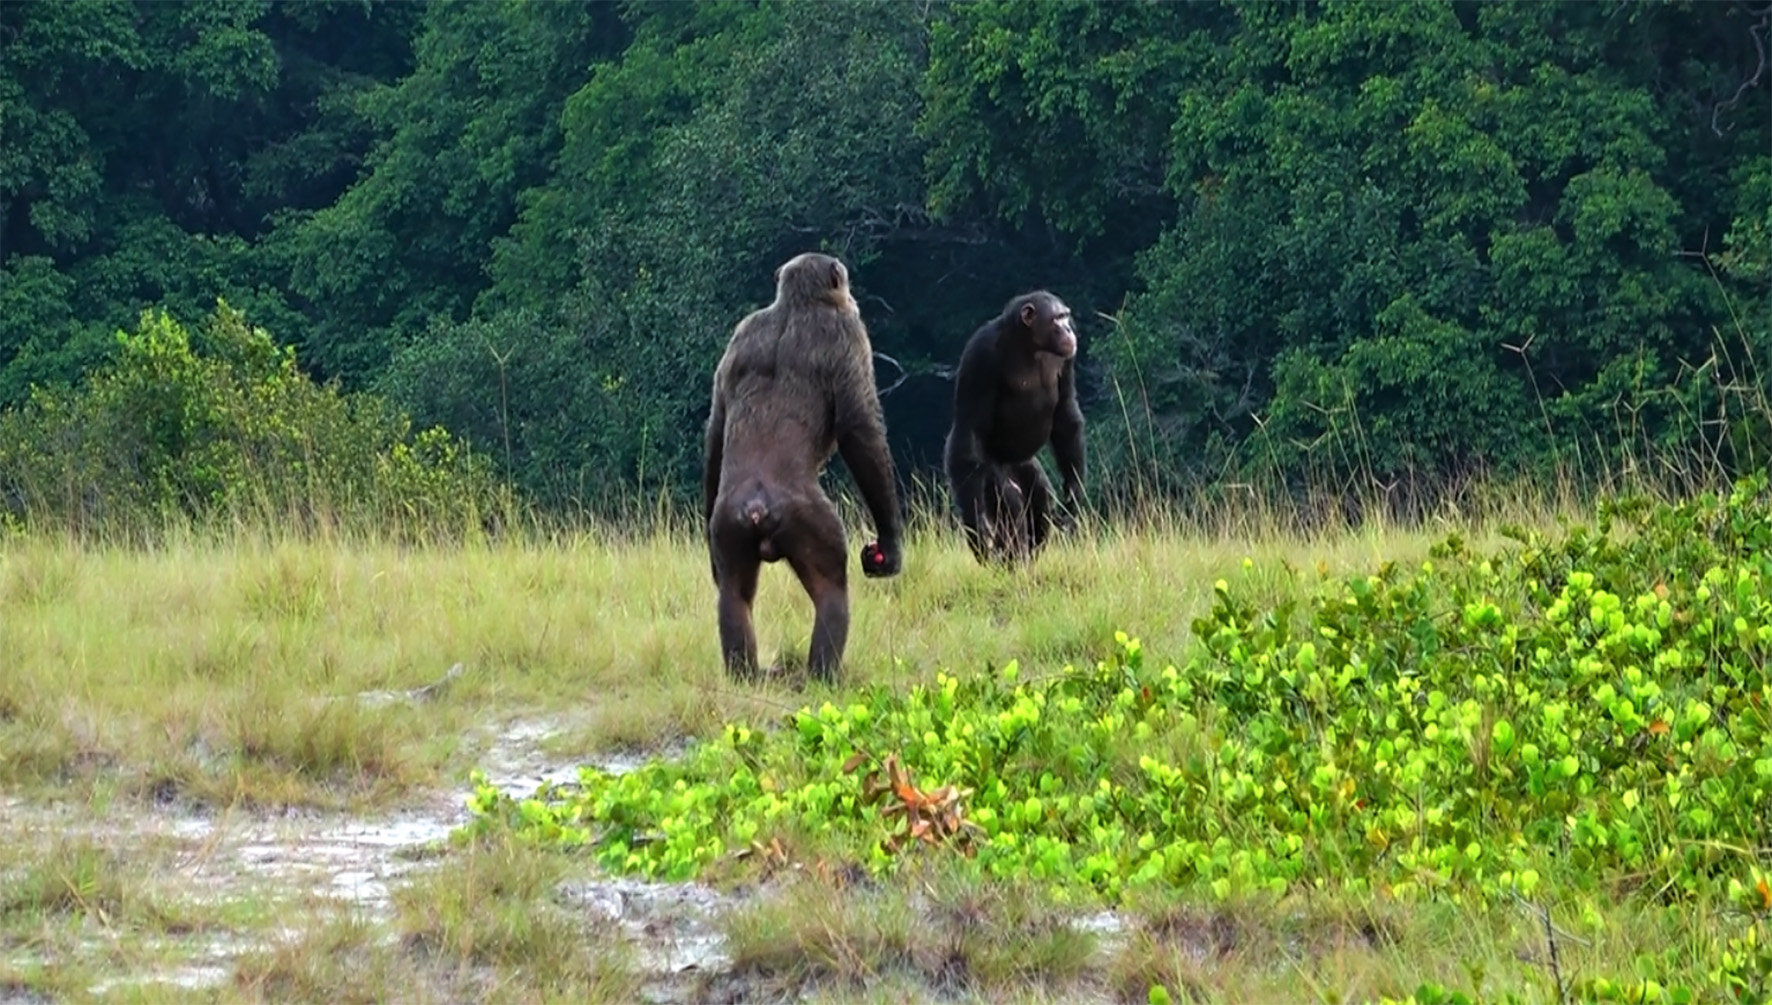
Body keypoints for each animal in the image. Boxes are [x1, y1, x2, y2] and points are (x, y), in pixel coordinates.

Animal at [703, 252, 904, 681]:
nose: (851, 291)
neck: (796, 306)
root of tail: (757, 506)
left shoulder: (740, 335)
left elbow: (716, 425)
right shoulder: (849, 333)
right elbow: (859, 428)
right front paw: (892, 545)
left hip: (728, 524)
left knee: (734, 595)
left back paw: (745, 672)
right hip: (809, 521)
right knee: (831, 590)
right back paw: (825, 674)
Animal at [943, 291, 1085, 564]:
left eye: (1065, 316)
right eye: (1056, 318)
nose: (1069, 330)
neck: (1030, 345)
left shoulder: (1068, 359)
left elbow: (1065, 414)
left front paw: (1074, 490)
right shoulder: (980, 354)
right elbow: (969, 430)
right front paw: (979, 526)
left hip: (1026, 465)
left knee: (1041, 500)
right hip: (990, 470)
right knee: (1010, 502)